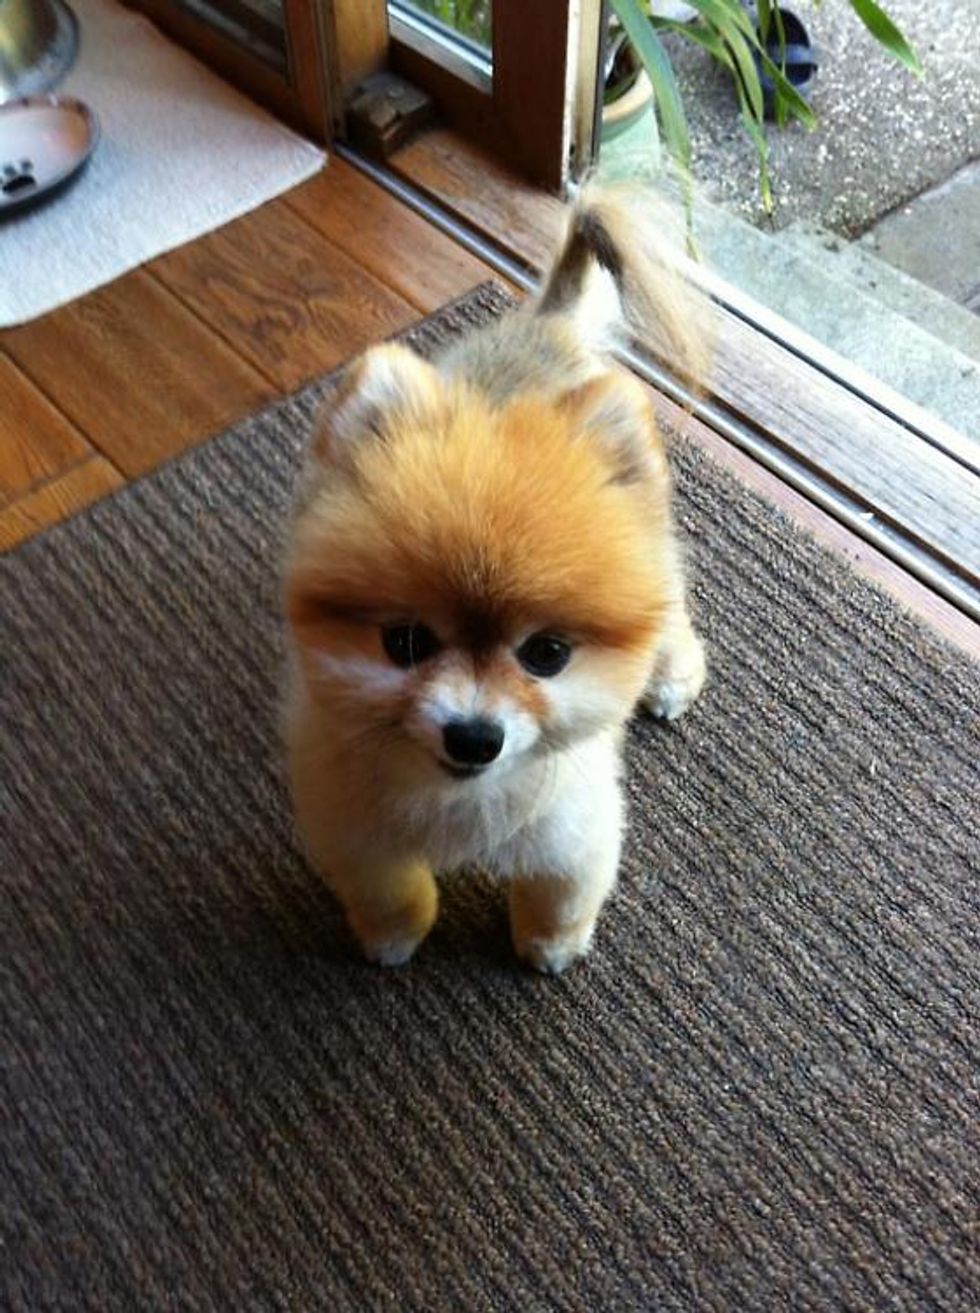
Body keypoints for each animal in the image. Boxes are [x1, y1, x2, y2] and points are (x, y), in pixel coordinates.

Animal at [282, 188, 709, 973]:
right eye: (405, 642)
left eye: (547, 654)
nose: (475, 736)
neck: (456, 805)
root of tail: (547, 323)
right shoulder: (354, 828)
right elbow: (390, 891)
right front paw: (393, 940)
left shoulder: (573, 827)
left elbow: (560, 894)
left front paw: (550, 949)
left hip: (650, 543)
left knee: (670, 608)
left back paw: (670, 678)